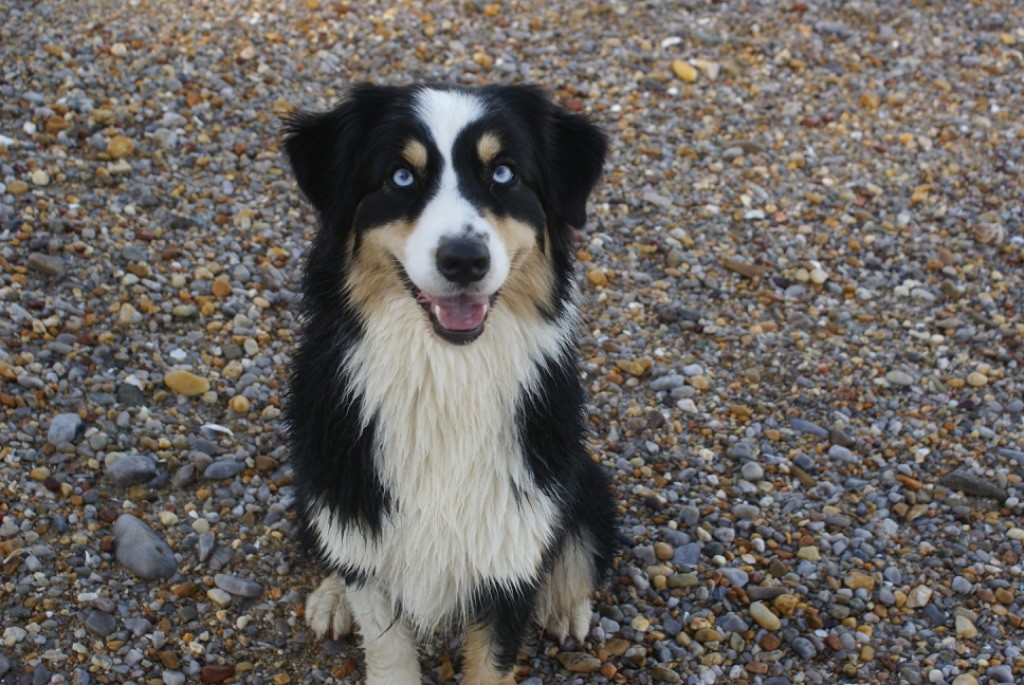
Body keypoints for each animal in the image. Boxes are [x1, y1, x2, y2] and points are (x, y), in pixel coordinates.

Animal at [284, 83, 610, 683]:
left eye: (503, 173)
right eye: (400, 177)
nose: (464, 259)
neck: (446, 379)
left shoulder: (511, 547)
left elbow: (493, 661)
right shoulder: (360, 510)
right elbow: (387, 649)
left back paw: (563, 605)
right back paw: (331, 597)